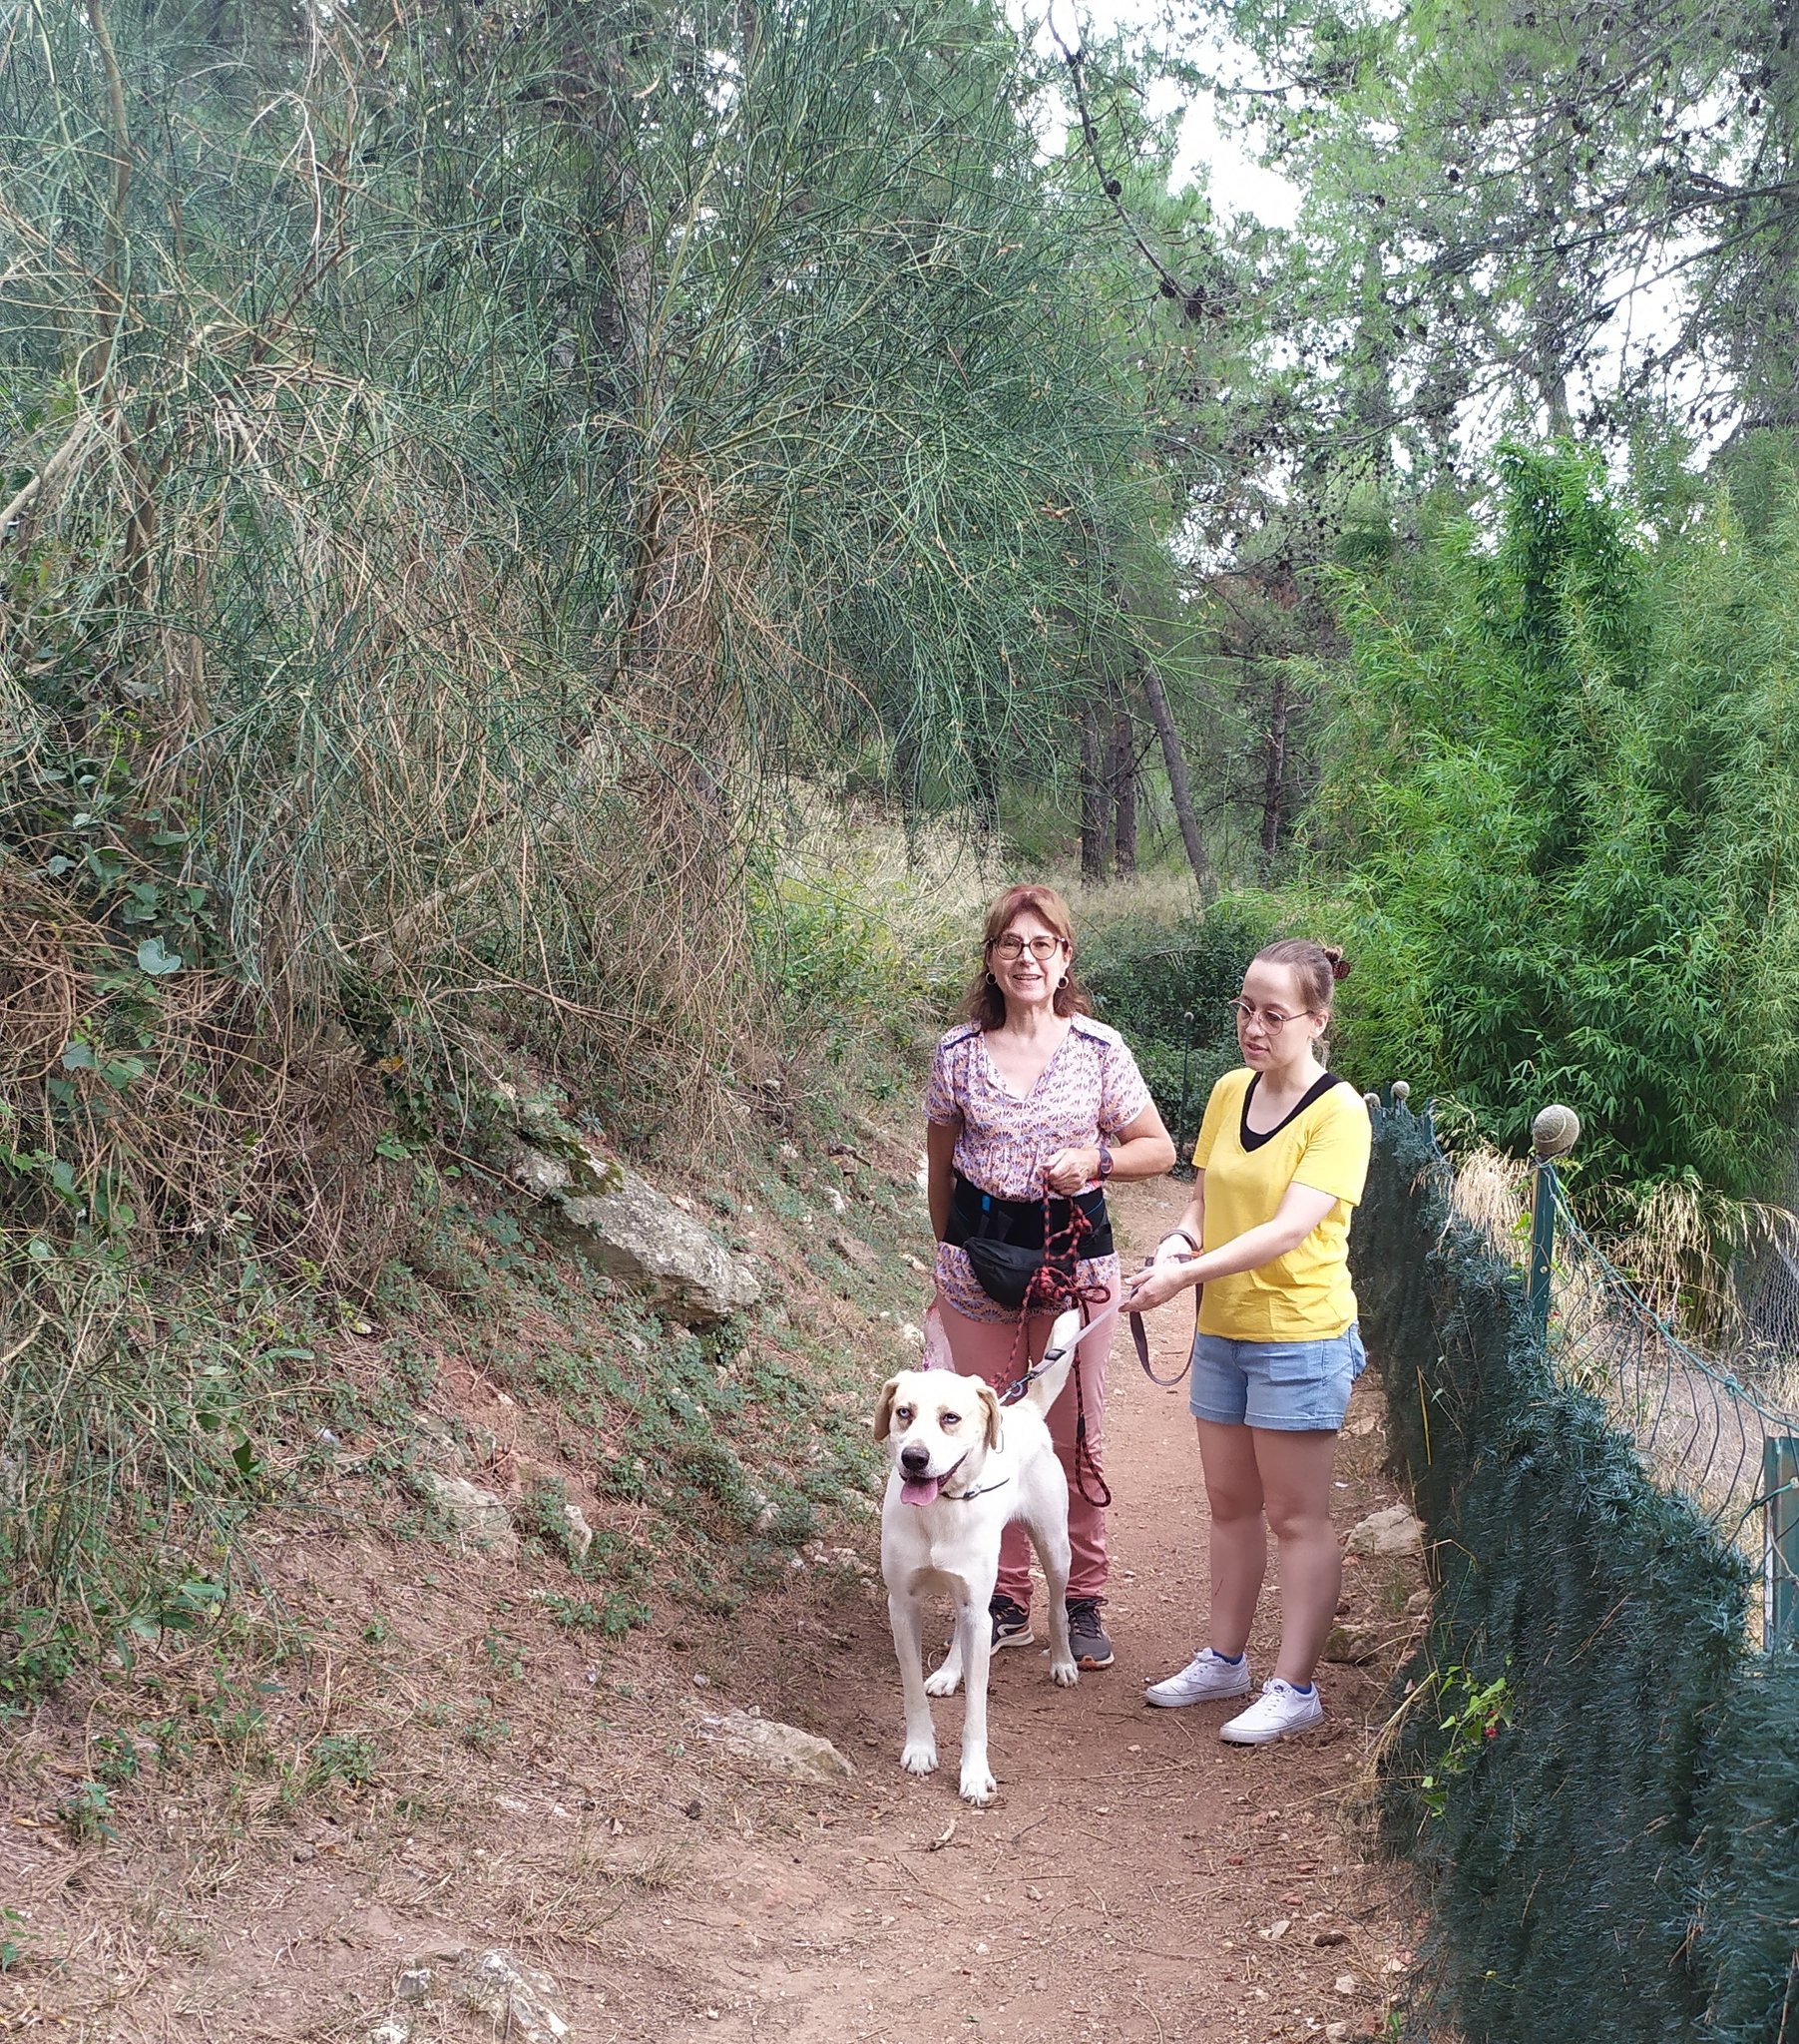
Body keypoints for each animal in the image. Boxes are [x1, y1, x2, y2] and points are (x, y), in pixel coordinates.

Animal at [872, 1308, 1082, 1805]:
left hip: (1054, 1548)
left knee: (1058, 1607)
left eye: (950, 1418)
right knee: (962, 1632)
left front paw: (973, 1773)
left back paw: (1063, 1662)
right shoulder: (902, 1604)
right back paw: (950, 1672)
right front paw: (920, 1749)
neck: (940, 1511)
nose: (914, 1458)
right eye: (904, 1412)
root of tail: (1022, 1410)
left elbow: (977, 1711)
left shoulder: (976, 1605)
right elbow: (912, 1688)